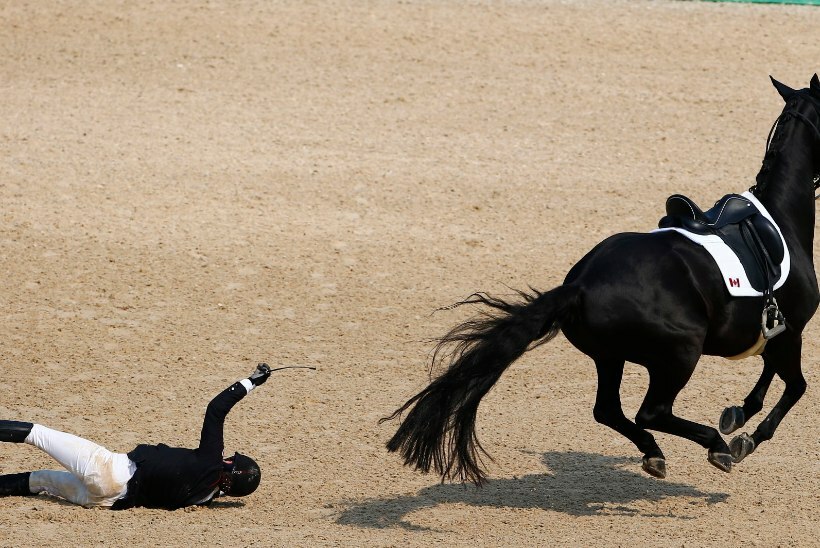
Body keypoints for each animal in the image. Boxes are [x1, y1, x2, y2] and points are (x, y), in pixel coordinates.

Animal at [384, 76, 820, 484]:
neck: (780, 218)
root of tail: (581, 285)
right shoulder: (790, 332)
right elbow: (795, 386)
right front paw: (745, 437)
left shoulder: (778, 333)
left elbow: (771, 378)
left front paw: (738, 416)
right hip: (679, 353)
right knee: (651, 412)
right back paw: (714, 447)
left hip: (610, 357)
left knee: (608, 411)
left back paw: (655, 453)